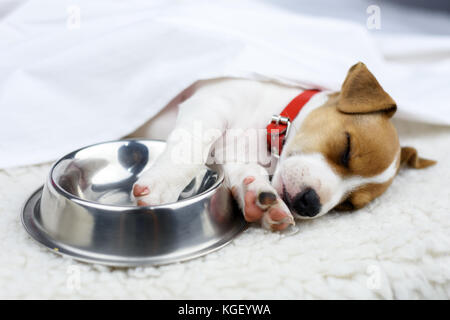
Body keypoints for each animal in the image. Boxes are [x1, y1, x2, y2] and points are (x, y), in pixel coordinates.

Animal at [131, 62, 436, 230]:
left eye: (348, 205)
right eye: (346, 148)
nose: (310, 203)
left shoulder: (234, 157)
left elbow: (247, 174)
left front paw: (262, 200)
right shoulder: (211, 104)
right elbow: (190, 151)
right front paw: (162, 188)